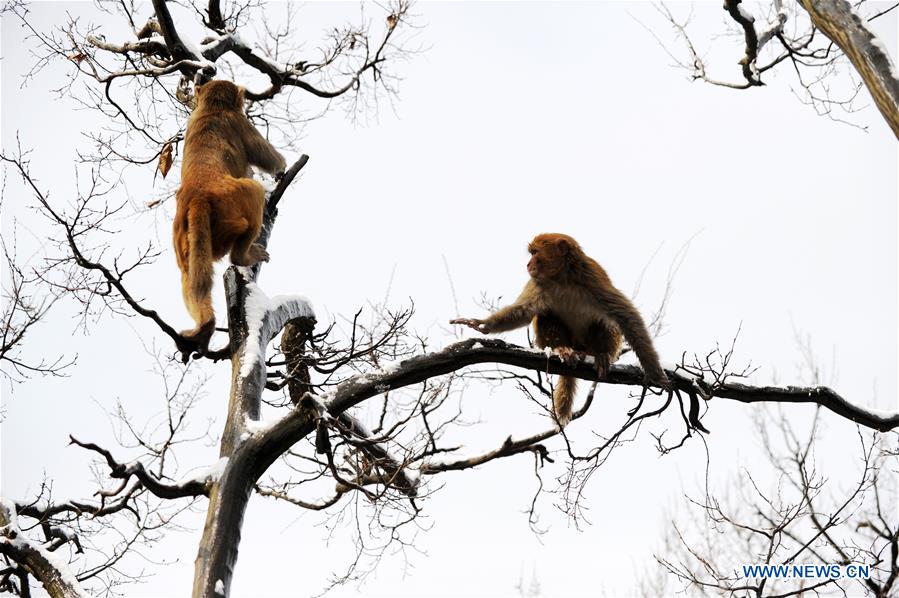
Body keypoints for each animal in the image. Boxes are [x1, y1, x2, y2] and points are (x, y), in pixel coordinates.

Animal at [172, 80, 284, 352]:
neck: (212, 108)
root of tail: (198, 197)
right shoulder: (239, 122)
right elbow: (270, 160)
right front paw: (280, 170)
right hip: (233, 202)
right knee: (252, 191)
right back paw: (243, 256)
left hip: (183, 234)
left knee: (190, 276)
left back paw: (203, 328)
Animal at [454, 233, 672, 426]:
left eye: (535, 253)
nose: (528, 264)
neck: (562, 278)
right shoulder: (538, 282)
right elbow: (525, 311)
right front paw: (483, 324)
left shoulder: (591, 275)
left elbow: (625, 315)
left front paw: (654, 372)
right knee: (545, 314)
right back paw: (562, 349)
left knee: (603, 320)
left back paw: (600, 354)